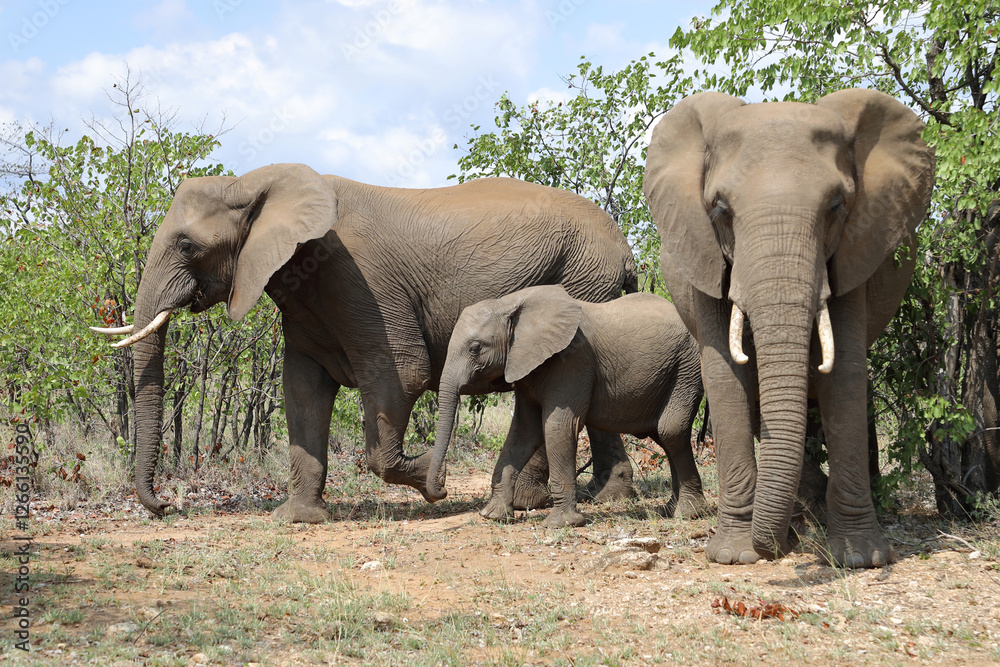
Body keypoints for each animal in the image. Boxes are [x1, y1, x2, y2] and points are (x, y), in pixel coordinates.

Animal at [91, 164, 640, 521]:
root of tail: (626, 249)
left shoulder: (360, 281)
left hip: (583, 278)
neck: (256, 182)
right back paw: (594, 497)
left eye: (187, 245)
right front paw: (298, 518)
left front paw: (433, 483)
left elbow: (401, 373)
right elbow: (302, 391)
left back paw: (554, 502)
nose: (166, 505)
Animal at [425, 284, 708, 527]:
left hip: (687, 367)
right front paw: (492, 516)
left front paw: (561, 524)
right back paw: (671, 509)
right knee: (663, 436)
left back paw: (688, 513)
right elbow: (523, 433)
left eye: (475, 348)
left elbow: (558, 427)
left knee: (670, 431)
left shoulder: (573, 361)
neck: (509, 303)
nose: (443, 486)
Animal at [643, 89, 934, 567]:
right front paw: (736, 556)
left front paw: (860, 559)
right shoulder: (706, 256)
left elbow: (844, 373)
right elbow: (727, 377)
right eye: (720, 210)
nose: (783, 546)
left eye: (836, 207)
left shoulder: (852, 251)